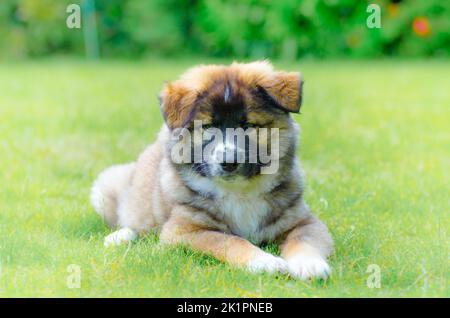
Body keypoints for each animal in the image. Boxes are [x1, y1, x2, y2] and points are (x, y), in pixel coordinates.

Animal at [89, 60, 332, 280]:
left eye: (248, 126)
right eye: (208, 127)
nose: (229, 162)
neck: (239, 192)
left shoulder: (304, 221)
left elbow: (304, 241)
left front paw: (309, 264)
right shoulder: (184, 230)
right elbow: (229, 240)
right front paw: (263, 261)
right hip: (106, 188)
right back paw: (118, 237)